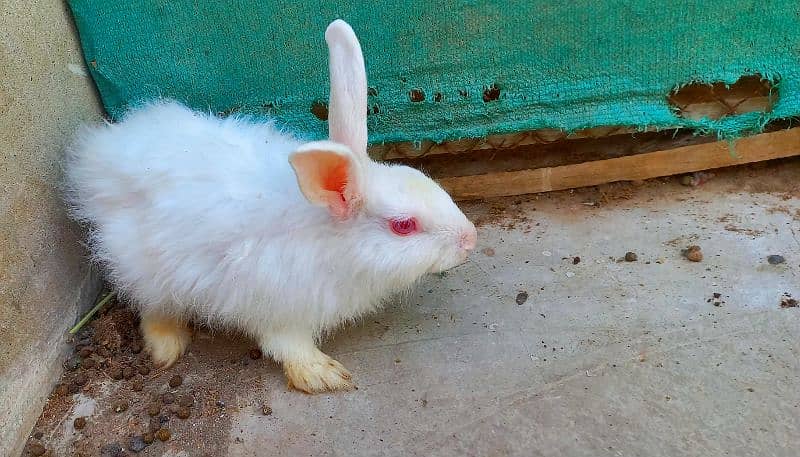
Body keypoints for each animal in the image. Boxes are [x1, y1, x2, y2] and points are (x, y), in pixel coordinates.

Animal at [65, 18, 476, 392]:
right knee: (152, 307)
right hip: (143, 264)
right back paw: (167, 347)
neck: (332, 242)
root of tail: (97, 156)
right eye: (403, 226)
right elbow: (287, 346)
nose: (470, 239)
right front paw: (322, 375)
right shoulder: (278, 309)